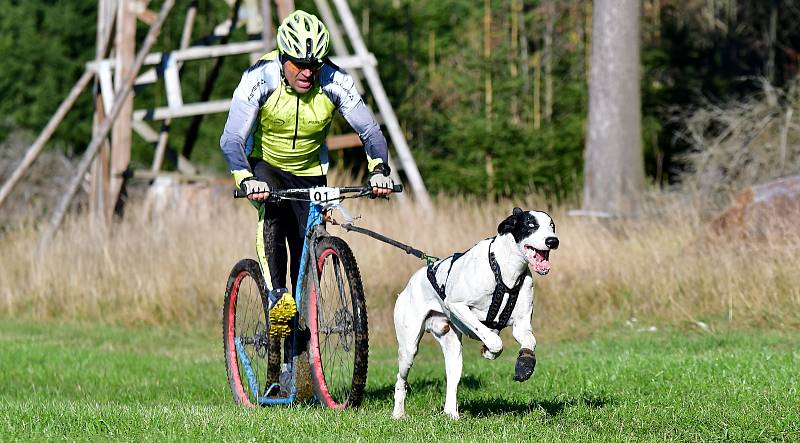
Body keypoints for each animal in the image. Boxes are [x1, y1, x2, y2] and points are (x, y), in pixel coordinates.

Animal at [392, 208, 556, 420]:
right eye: (530, 224)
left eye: (552, 226)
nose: (553, 241)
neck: (504, 270)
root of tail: (410, 284)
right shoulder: (458, 305)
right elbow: (494, 340)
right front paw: (490, 351)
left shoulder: (522, 325)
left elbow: (529, 341)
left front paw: (524, 364)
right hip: (409, 349)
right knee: (400, 380)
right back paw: (398, 413)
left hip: (453, 351)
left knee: (452, 382)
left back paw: (451, 414)